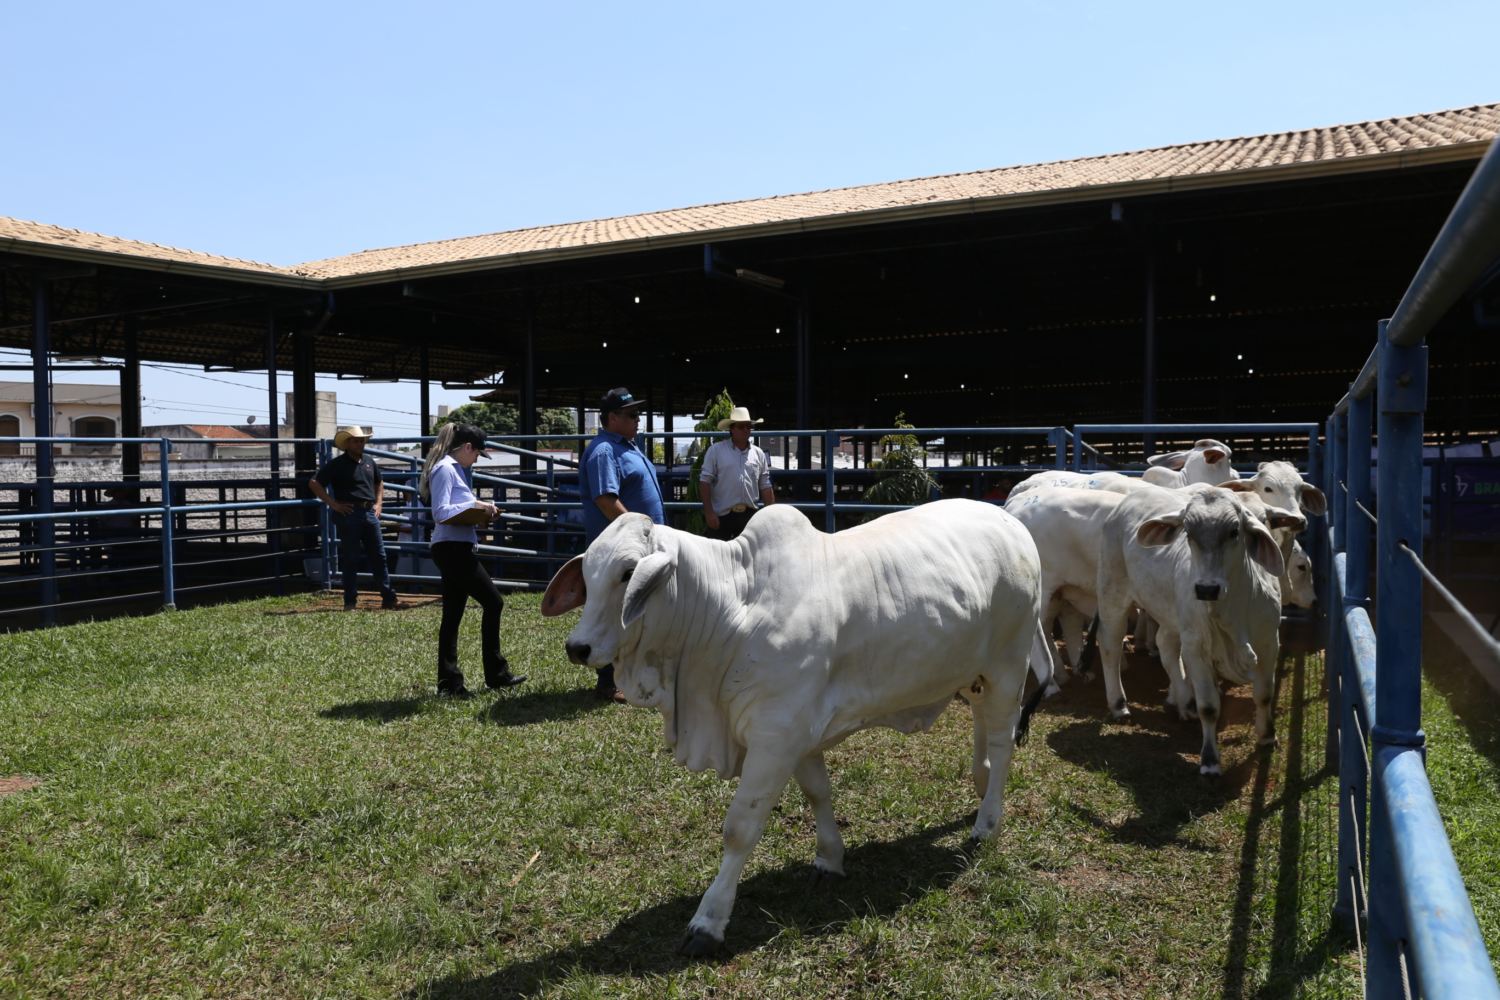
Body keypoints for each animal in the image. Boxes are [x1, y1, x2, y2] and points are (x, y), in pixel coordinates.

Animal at [540, 500, 1044, 953]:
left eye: (628, 573)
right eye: (588, 575)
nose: (577, 647)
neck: (729, 611)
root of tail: (1011, 521)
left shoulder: (774, 736)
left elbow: (740, 828)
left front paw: (708, 921)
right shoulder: (797, 735)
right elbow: (818, 792)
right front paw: (829, 858)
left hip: (1008, 667)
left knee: (1002, 742)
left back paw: (987, 822)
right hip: (973, 673)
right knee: (982, 726)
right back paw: (980, 787)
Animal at [1098, 485, 1296, 773]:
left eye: (1234, 531)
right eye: (1189, 533)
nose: (1206, 589)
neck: (1231, 613)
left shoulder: (1269, 643)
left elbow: (1264, 695)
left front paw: (1268, 736)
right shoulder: (1196, 648)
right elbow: (1209, 707)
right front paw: (1210, 760)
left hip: (1171, 616)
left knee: (1165, 645)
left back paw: (1184, 703)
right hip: (1113, 594)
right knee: (1110, 646)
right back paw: (1119, 704)